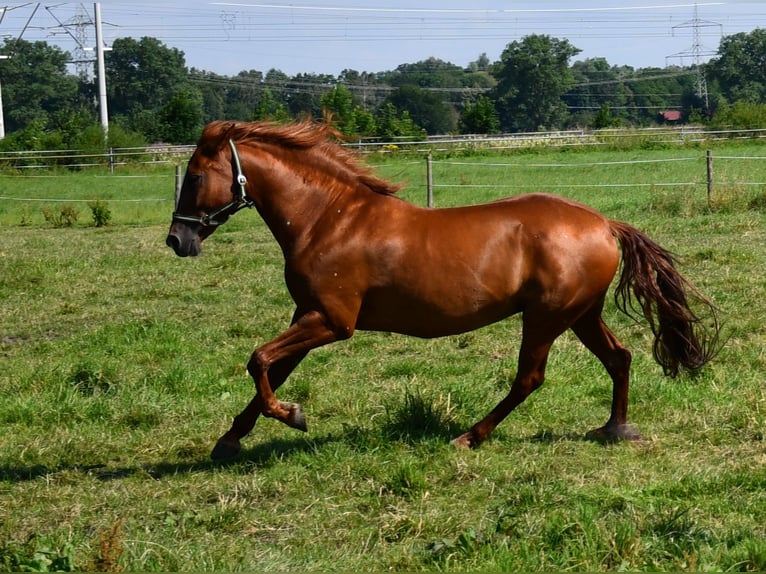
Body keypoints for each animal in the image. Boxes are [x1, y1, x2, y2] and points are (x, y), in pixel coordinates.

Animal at [166, 121, 720, 464]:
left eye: (195, 176)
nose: (177, 240)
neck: (328, 219)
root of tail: (605, 224)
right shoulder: (308, 314)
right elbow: (270, 370)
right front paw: (230, 440)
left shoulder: (332, 322)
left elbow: (258, 360)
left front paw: (293, 416)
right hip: (581, 314)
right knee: (619, 358)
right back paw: (616, 429)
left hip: (546, 317)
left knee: (530, 378)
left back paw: (470, 436)